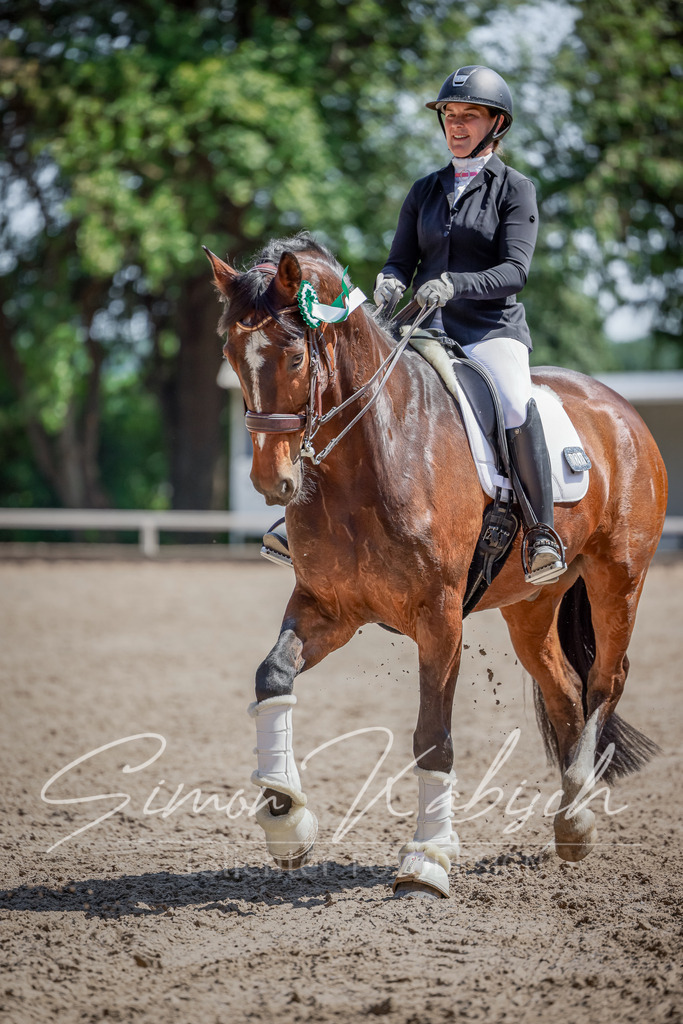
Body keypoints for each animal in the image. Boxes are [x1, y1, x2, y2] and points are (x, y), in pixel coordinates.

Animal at [204, 233, 667, 899]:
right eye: (231, 354)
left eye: (293, 356)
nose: (274, 482)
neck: (372, 453)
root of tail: (617, 407)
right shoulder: (328, 608)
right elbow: (273, 678)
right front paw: (287, 820)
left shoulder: (441, 617)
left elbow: (433, 739)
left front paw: (426, 860)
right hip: (532, 605)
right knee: (564, 688)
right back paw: (571, 819)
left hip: (618, 578)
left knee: (606, 679)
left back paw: (578, 812)